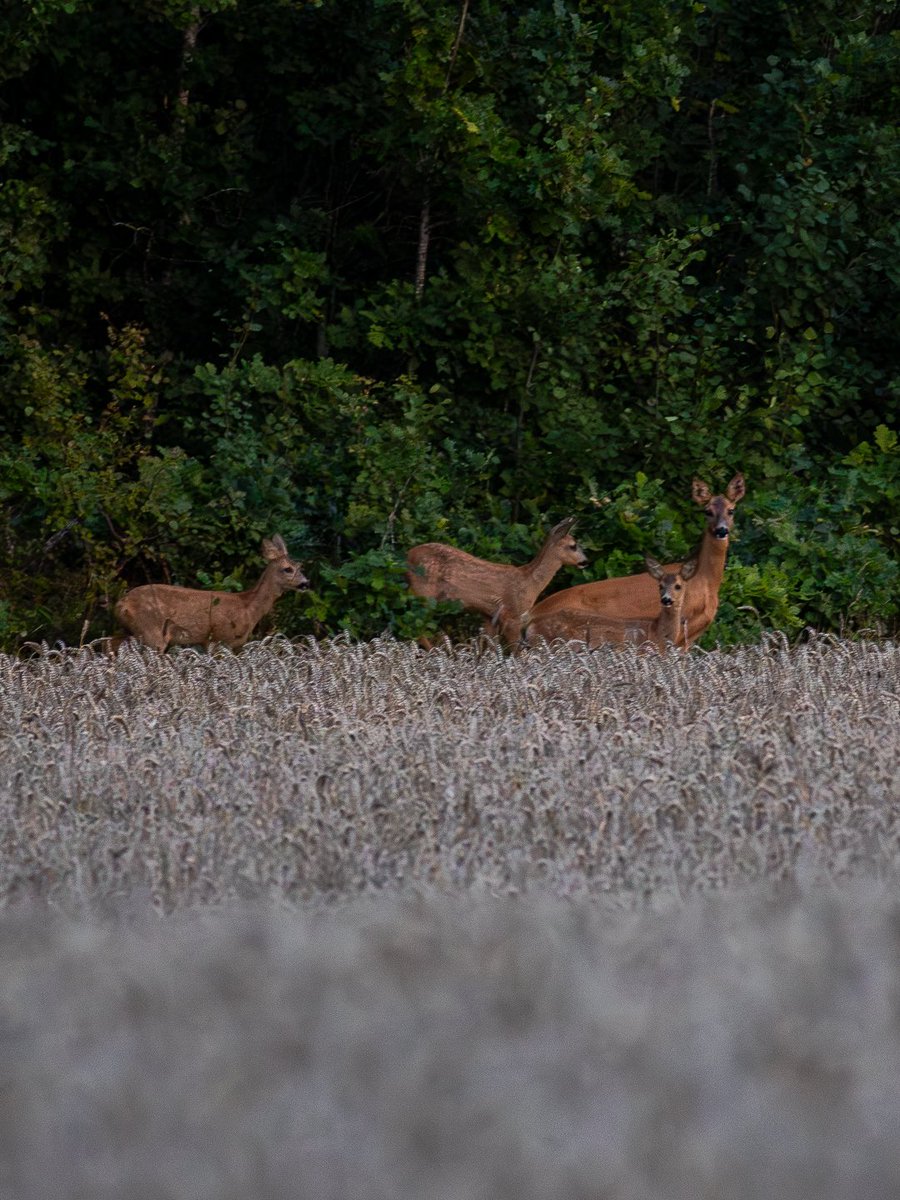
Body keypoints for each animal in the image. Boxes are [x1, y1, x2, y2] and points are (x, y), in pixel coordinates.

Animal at [114, 534, 308, 652]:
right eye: (287, 569)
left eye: (300, 567)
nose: (306, 583)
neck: (248, 607)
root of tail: (121, 603)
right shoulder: (218, 638)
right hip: (151, 631)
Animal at [406, 517, 588, 648]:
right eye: (573, 545)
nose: (585, 561)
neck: (530, 583)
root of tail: (408, 555)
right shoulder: (512, 613)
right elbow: (516, 650)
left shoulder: (490, 615)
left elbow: (491, 647)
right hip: (425, 593)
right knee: (417, 628)